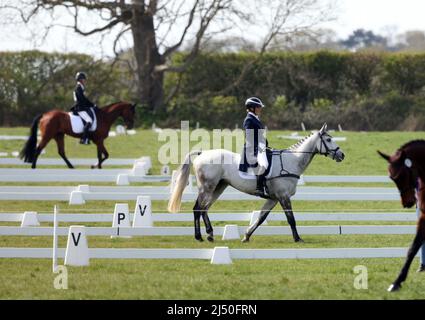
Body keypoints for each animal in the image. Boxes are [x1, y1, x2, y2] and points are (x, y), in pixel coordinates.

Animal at [167, 124, 342, 241]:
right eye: (328, 139)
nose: (342, 155)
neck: (291, 161)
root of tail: (202, 154)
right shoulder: (283, 196)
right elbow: (291, 218)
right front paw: (298, 238)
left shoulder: (274, 198)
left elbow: (261, 218)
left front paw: (246, 235)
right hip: (207, 187)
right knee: (198, 208)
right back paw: (199, 236)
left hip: (218, 187)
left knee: (204, 208)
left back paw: (209, 234)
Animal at [380, 139, 425, 290]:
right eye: (391, 178)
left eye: (401, 175)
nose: (407, 202)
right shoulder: (424, 216)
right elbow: (413, 248)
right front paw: (397, 282)